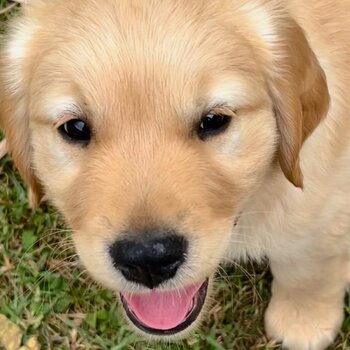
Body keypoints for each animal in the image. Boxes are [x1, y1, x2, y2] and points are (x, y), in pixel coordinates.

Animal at [0, 0, 350, 350]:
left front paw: (303, 322)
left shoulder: (323, 207)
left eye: (214, 120)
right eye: (75, 128)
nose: (148, 261)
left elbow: (307, 269)